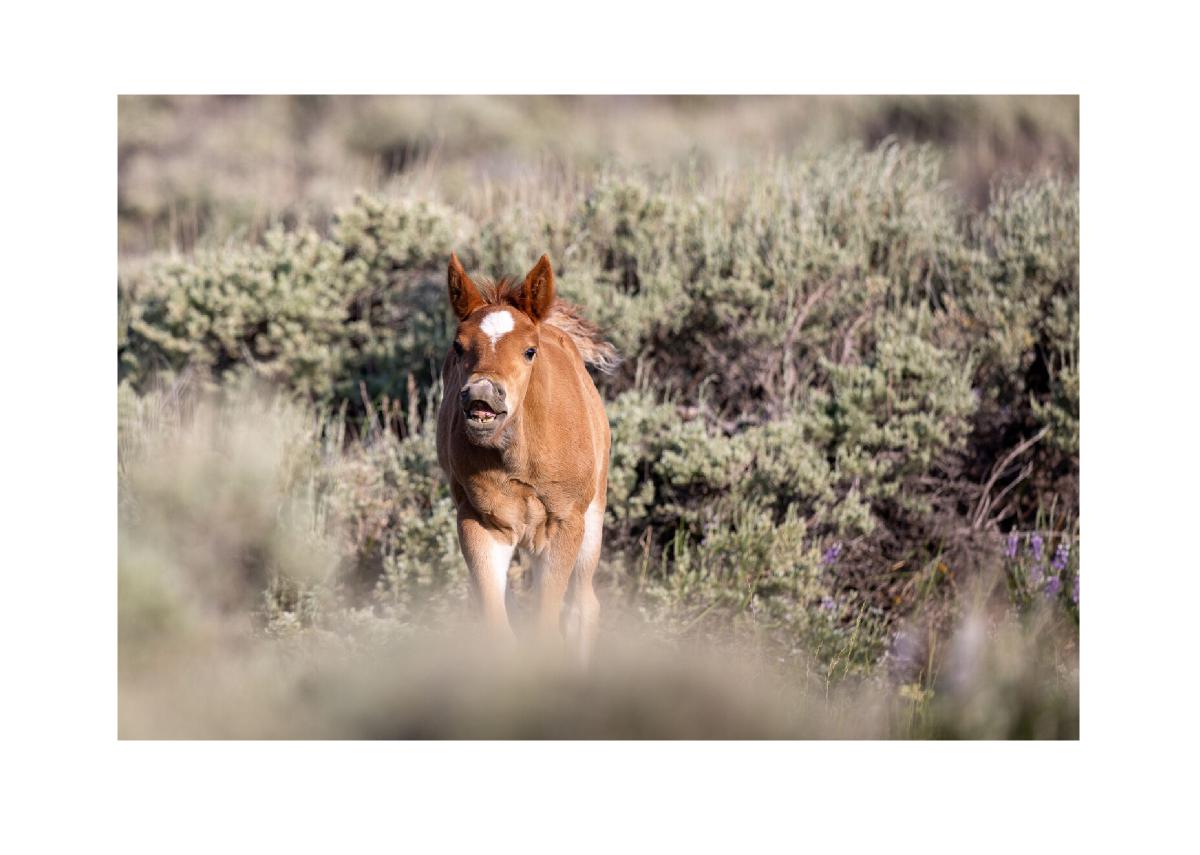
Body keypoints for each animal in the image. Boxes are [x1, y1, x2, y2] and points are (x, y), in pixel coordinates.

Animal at [436, 252, 618, 663]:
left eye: (529, 351)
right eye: (458, 346)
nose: (483, 394)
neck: (518, 461)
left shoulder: (564, 524)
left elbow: (547, 632)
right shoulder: (478, 523)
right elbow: (500, 632)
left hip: (592, 517)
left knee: (583, 607)